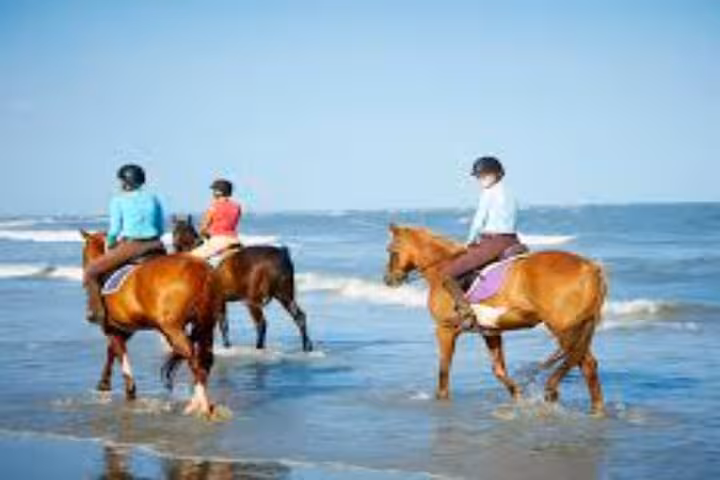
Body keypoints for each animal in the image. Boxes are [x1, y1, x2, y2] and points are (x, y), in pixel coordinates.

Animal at [80, 230, 224, 416]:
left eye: (84, 255)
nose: (85, 271)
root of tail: (202, 270)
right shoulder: (124, 329)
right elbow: (112, 351)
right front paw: (105, 383)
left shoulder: (113, 328)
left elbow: (119, 355)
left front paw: (124, 388)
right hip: (206, 324)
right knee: (205, 360)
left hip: (173, 330)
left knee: (194, 360)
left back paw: (200, 404)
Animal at [171, 216, 312, 352]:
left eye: (175, 231)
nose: (174, 245)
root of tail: (282, 253)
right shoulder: (220, 301)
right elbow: (223, 324)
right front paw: (227, 345)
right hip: (284, 295)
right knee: (299, 317)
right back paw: (307, 346)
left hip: (253, 300)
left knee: (261, 324)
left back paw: (259, 347)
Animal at [383, 224, 606, 414]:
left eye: (391, 250)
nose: (388, 280)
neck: (441, 268)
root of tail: (590, 267)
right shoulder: (490, 330)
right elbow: (498, 369)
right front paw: (518, 396)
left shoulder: (444, 329)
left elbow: (444, 370)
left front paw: (441, 398)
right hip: (577, 329)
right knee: (584, 362)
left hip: (563, 329)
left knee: (585, 363)